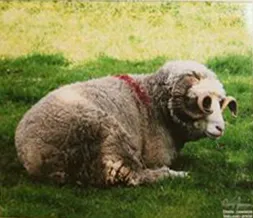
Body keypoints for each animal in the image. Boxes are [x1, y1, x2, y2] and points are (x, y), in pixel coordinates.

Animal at [15, 60, 237, 186]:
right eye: (204, 102)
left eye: (220, 102)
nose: (221, 128)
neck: (152, 101)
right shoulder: (155, 156)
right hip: (110, 140)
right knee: (136, 176)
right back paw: (178, 175)